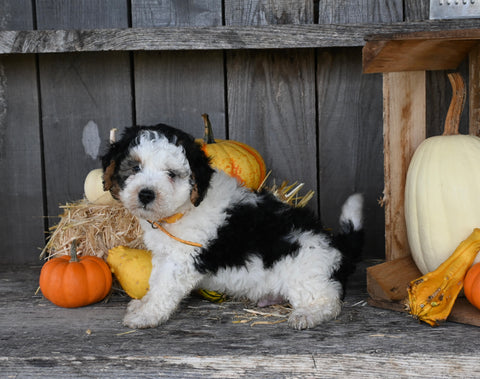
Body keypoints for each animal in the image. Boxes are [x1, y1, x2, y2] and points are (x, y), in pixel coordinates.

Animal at [102, 124, 364, 330]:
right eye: (135, 167)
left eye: (171, 174)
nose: (146, 194)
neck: (183, 210)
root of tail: (336, 243)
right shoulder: (165, 255)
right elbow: (156, 282)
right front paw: (143, 305)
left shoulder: (182, 260)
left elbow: (164, 288)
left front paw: (147, 315)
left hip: (306, 270)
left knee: (328, 300)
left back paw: (307, 314)